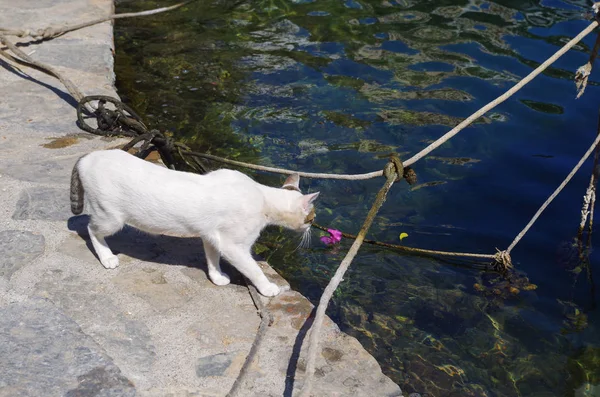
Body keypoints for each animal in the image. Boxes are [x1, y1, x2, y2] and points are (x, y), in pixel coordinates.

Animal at [70, 150, 318, 296]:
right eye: (312, 218)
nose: (311, 228)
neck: (262, 196)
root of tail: (87, 157)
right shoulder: (233, 246)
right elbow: (254, 269)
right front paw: (267, 288)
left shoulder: (212, 236)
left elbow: (212, 258)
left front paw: (217, 277)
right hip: (110, 218)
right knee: (91, 228)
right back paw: (107, 257)